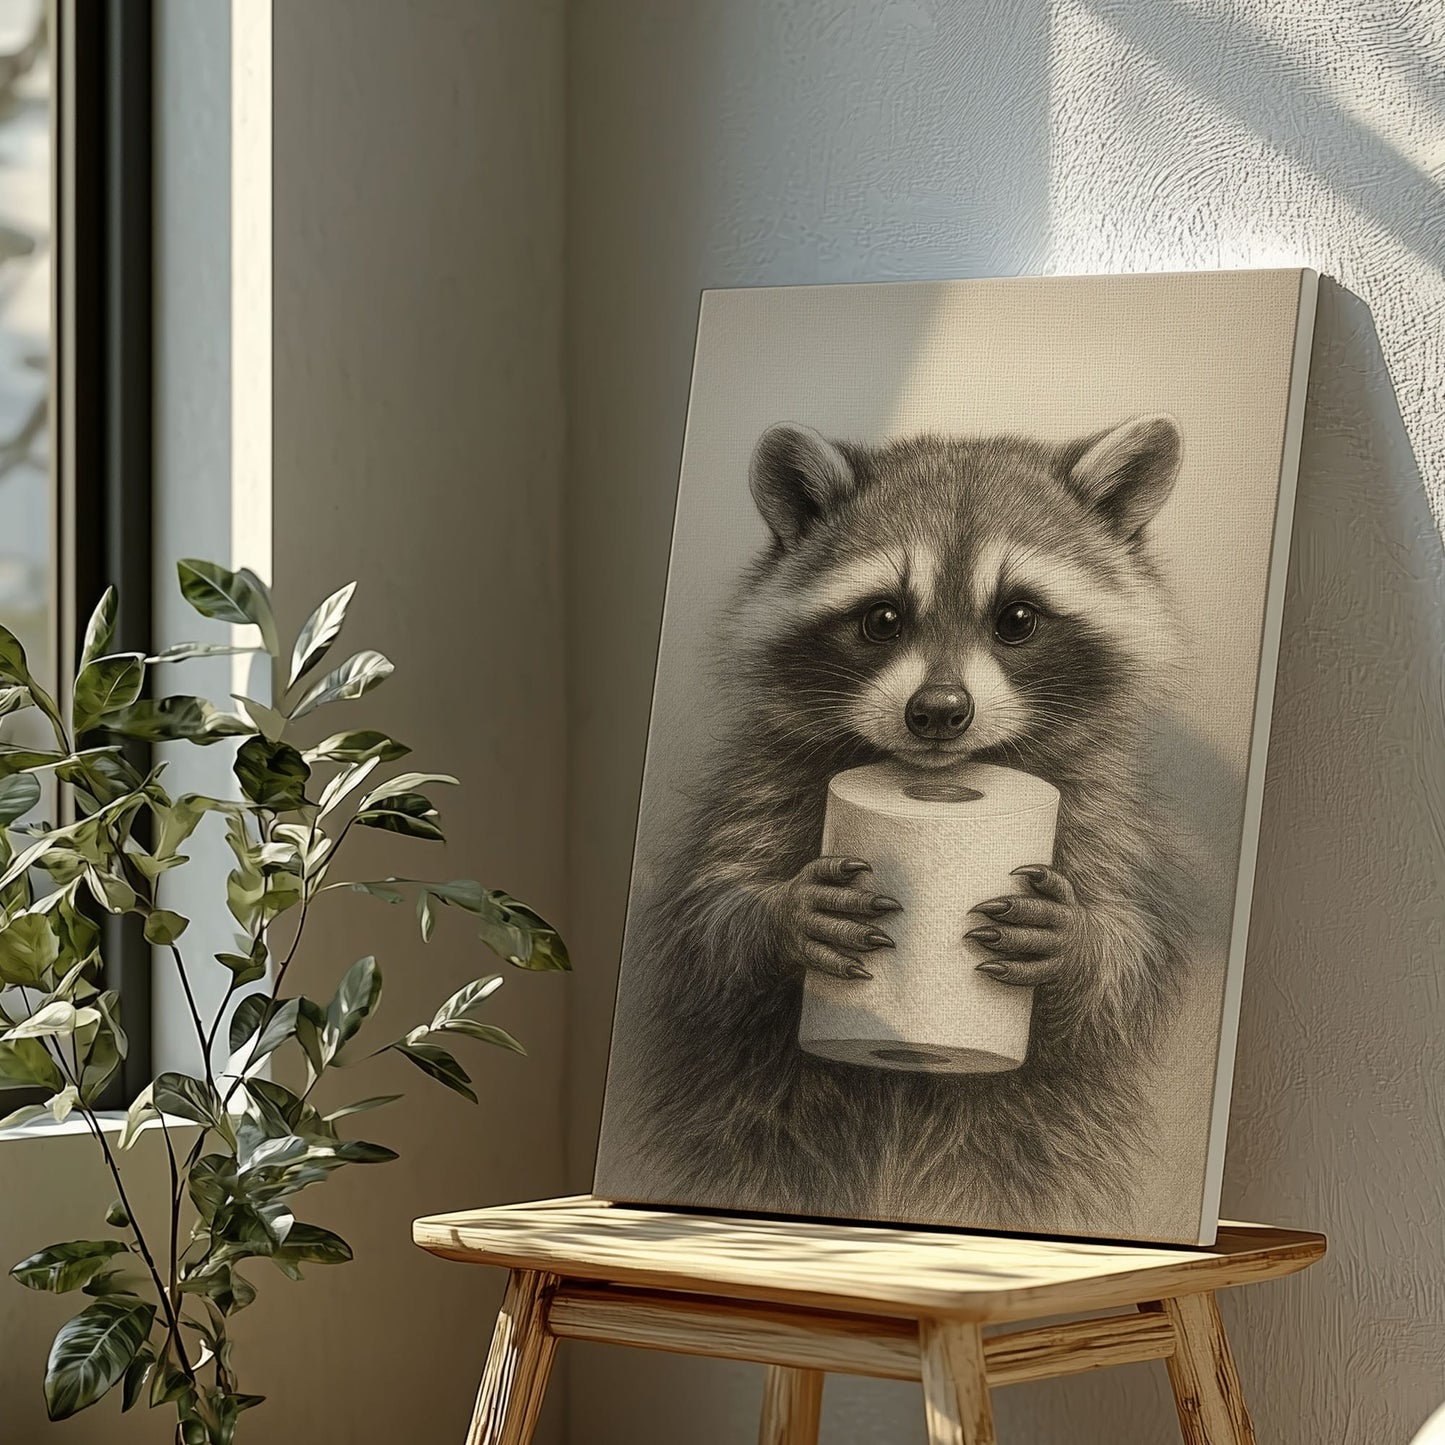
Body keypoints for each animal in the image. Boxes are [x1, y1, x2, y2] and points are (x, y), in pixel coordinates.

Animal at [614, 415, 1193, 1234]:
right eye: (882, 618)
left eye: (1017, 619)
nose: (939, 711)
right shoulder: (758, 788)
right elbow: (705, 927)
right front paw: (781, 914)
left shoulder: (1103, 811)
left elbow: (1130, 963)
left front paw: (1078, 940)